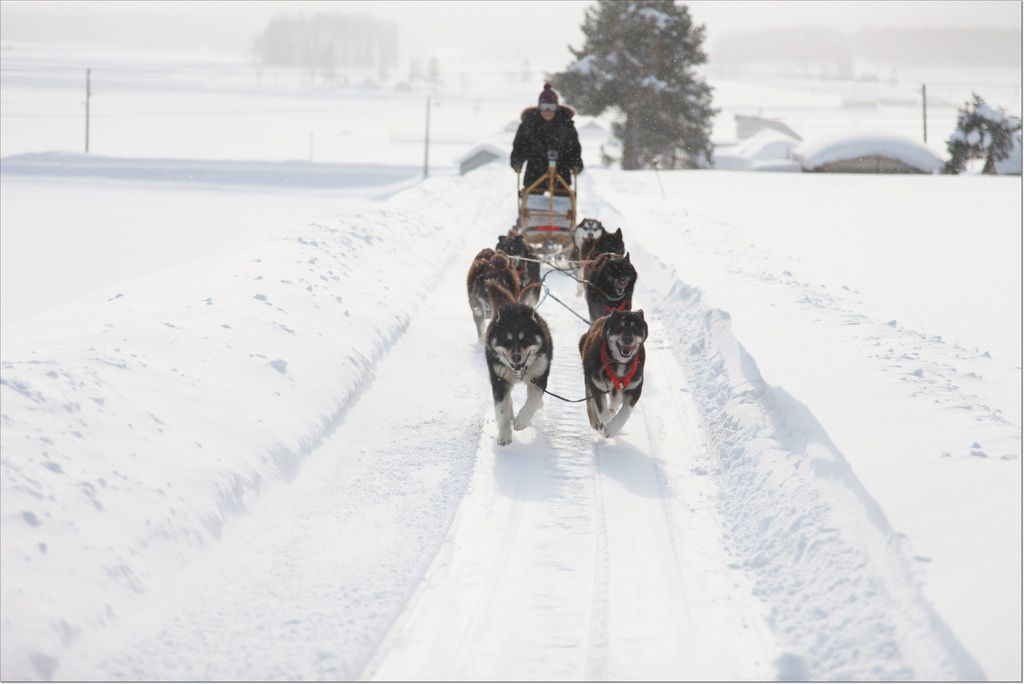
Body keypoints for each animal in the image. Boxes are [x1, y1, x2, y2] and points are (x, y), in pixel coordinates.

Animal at [485, 303, 552, 444]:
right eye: (506, 340)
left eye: (525, 340)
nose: (516, 357)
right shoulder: (499, 380)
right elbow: (501, 410)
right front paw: (504, 435)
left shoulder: (539, 377)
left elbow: (533, 401)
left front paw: (521, 421)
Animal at [577, 309, 647, 438]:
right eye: (620, 326)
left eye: (636, 329)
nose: (628, 339)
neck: (619, 363)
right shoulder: (596, 383)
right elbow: (602, 411)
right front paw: (608, 423)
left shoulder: (635, 387)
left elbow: (625, 412)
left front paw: (613, 428)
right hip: (589, 375)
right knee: (590, 400)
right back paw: (596, 421)